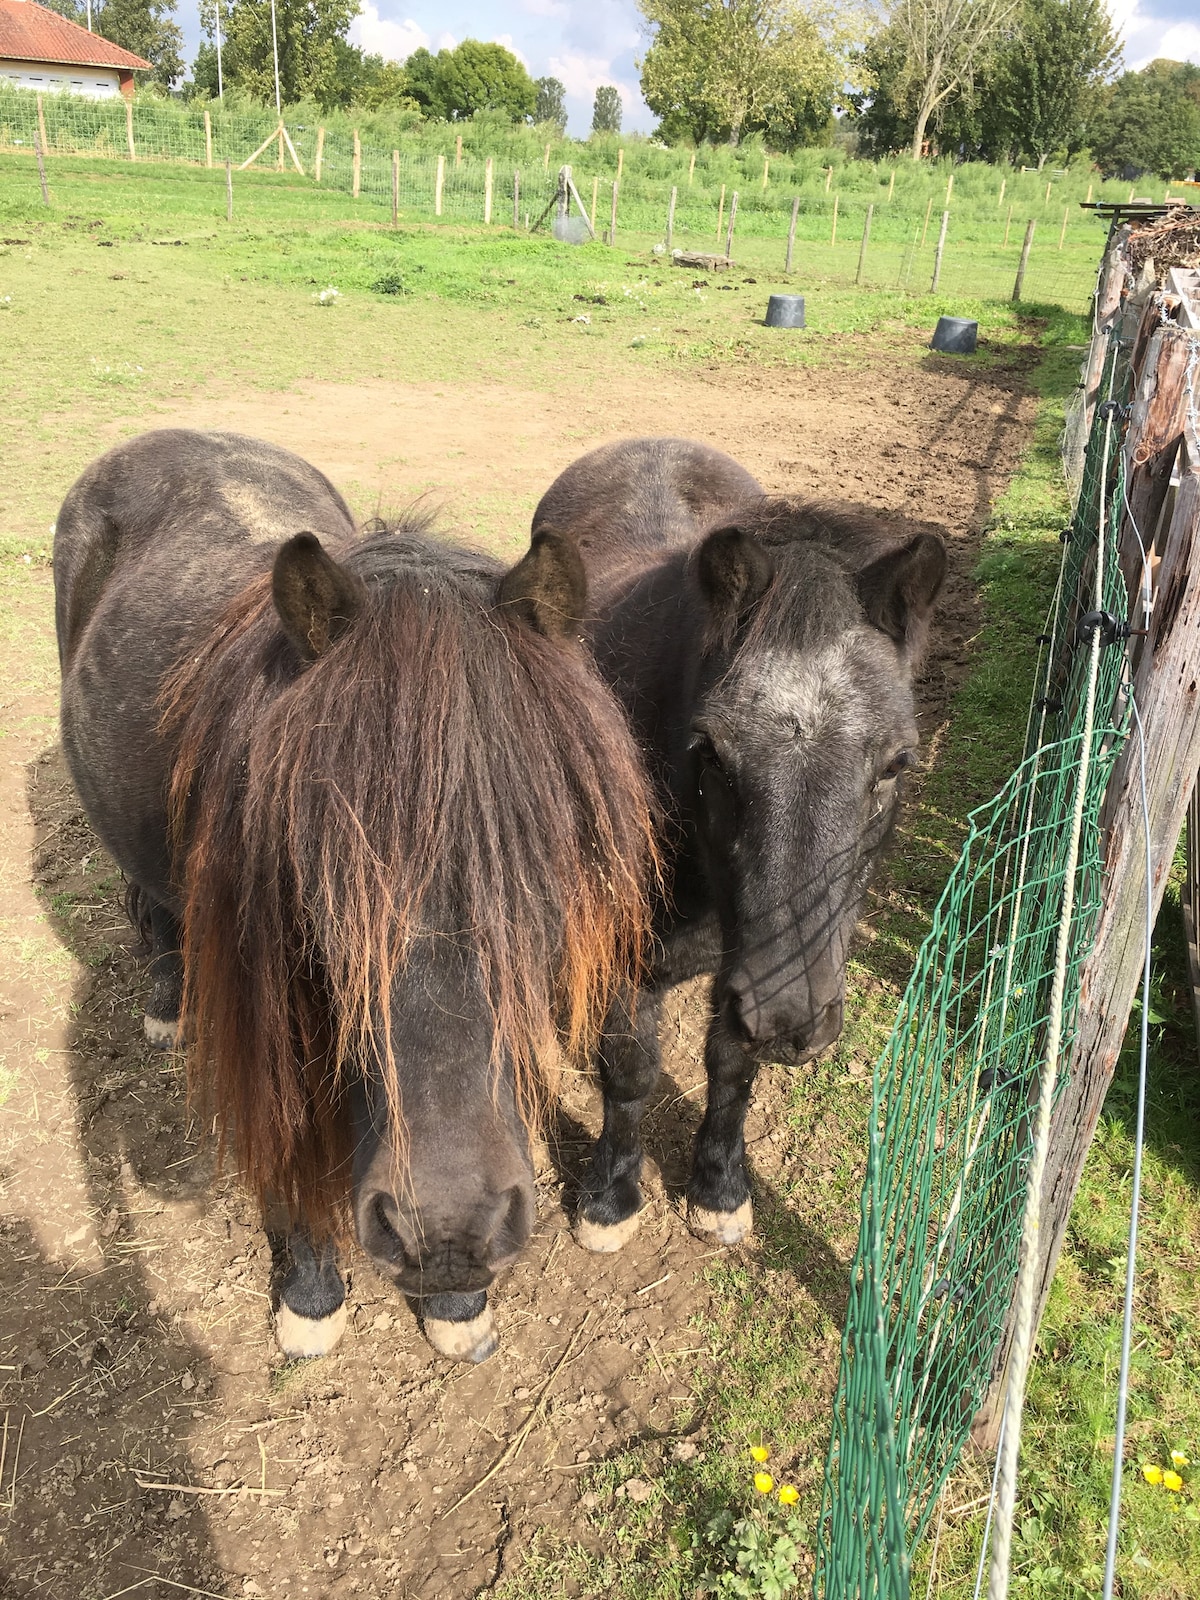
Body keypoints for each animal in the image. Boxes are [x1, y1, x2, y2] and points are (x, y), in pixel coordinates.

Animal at [54, 435, 659, 1363]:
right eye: (312, 869)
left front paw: (458, 1306)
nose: (449, 1236)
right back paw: (164, 1003)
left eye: (551, 853)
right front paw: (309, 1295)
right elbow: (289, 1144)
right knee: (147, 908)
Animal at [534, 435, 947, 1248]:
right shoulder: (630, 961)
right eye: (713, 756)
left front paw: (720, 1189)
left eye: (894, 765)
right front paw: (610, 1197)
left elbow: (730, 1066)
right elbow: (628, 1072)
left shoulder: (747, 971)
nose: (790, 1021)